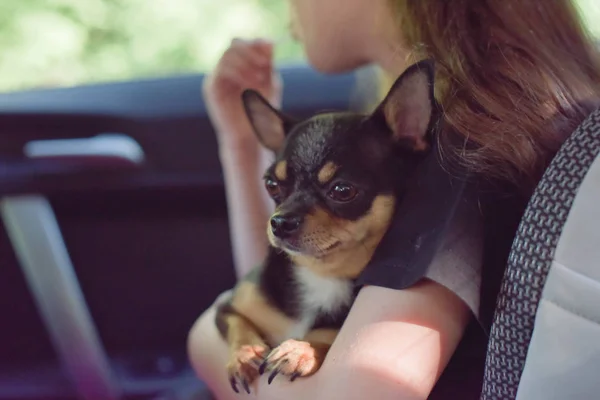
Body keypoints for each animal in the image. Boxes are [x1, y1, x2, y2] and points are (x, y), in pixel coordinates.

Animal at [214, 59, 436, 394]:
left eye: (342, 191)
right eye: (271, 185)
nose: (280, 222)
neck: (321, 276)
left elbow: (328, 335)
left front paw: (301, 349)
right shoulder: (227, 307)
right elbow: (239, 324)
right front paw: (245, 354)